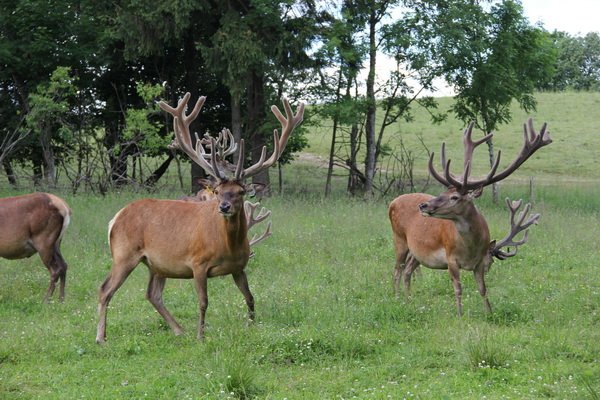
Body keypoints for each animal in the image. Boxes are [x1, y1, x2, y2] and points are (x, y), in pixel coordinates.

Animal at [95, 92, 302, 342]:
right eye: (219, 191)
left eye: (240, 192)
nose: (224, 207)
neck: (227, 245)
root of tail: (115, 218)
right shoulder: (198, 263)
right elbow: (203, 302)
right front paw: (201, 336)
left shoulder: (239, 267)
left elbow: (251, 297)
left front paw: (252, 327)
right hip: (124, 253)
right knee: (105, 289)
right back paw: (100, 337)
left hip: (156, 264)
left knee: (152, 294)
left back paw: (178, 330)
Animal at [390, 119, 552, 316]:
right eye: (443, 192)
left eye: (454, 197)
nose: (423, 205)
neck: (470, 248)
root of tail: (392, 202)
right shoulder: (451, 259)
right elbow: (458, 288)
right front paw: (460, 314)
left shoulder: (479, 262)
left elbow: (483, 288)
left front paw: (489, 312)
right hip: (399, 239)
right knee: (397, 270)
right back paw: (397, 298)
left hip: (416, 251)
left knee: (407, 271)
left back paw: (408, 300)